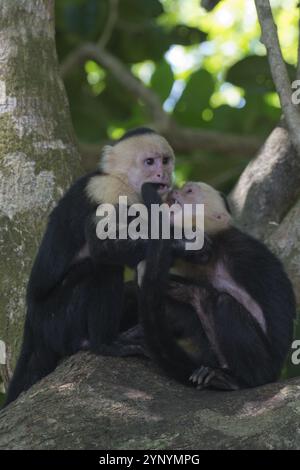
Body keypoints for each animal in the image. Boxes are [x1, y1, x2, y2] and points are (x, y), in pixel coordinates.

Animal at [3, 126, 175, 406]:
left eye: (166, 160)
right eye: (150, 162)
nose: (163, 174)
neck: (125, 182)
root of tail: (32, 321)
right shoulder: (107, 190)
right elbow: (102, 247)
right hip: (55, 321)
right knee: (100, 269)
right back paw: (103, 344)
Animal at [139, 180, 296, 390]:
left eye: (189, 191)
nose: (173, 190)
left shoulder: (241, 251)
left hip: (267, 367)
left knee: (225, 304)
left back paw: (239, 381)